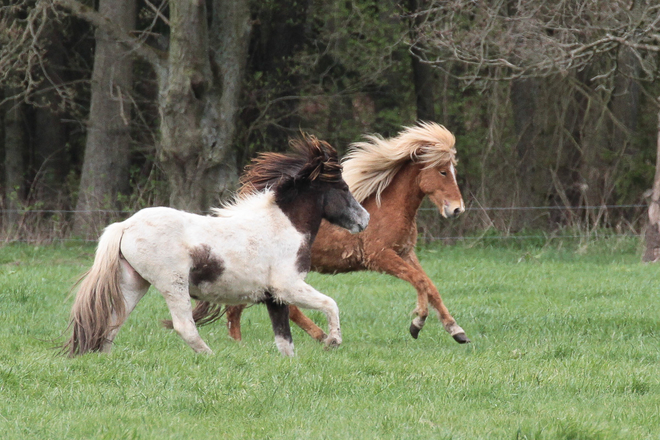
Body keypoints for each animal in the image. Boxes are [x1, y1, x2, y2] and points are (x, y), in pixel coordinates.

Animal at [63, 137, 368, 358]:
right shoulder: (288, 287)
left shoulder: (274, 298)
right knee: (183, 325)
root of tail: (125, 225)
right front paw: (333, 340)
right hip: (172, 283)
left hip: (134, 283)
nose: (364, 220)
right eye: (343, 188)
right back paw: (211, 356)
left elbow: (285, 343)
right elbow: (330, 304)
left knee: (114, 320)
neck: (283, 226)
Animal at [183, 123, 466, 344]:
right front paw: (417, 322)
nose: (457, 209)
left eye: (453, 170)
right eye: (443, 171)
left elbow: (430, 286)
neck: (387, 207)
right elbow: (419, 282)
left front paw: (456, 330)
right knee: (248, 307)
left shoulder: (405, 254)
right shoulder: (380, 257)